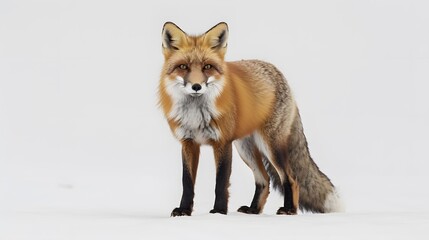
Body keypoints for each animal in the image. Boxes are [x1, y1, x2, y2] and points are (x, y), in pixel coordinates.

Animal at [157, 22, 342, 217]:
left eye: (207, 67)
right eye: (183, 67)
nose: (196, 86)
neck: (196, 113)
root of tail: (280, 74)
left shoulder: (223, 143)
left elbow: (221, 182)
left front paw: (219, 211)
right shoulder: (188, 143)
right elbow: (187, 183)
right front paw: (184, 210)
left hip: (271, 146)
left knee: (291, 178)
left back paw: (289, 209)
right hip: (245, 148)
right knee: (265, 179)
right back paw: (254, 209)